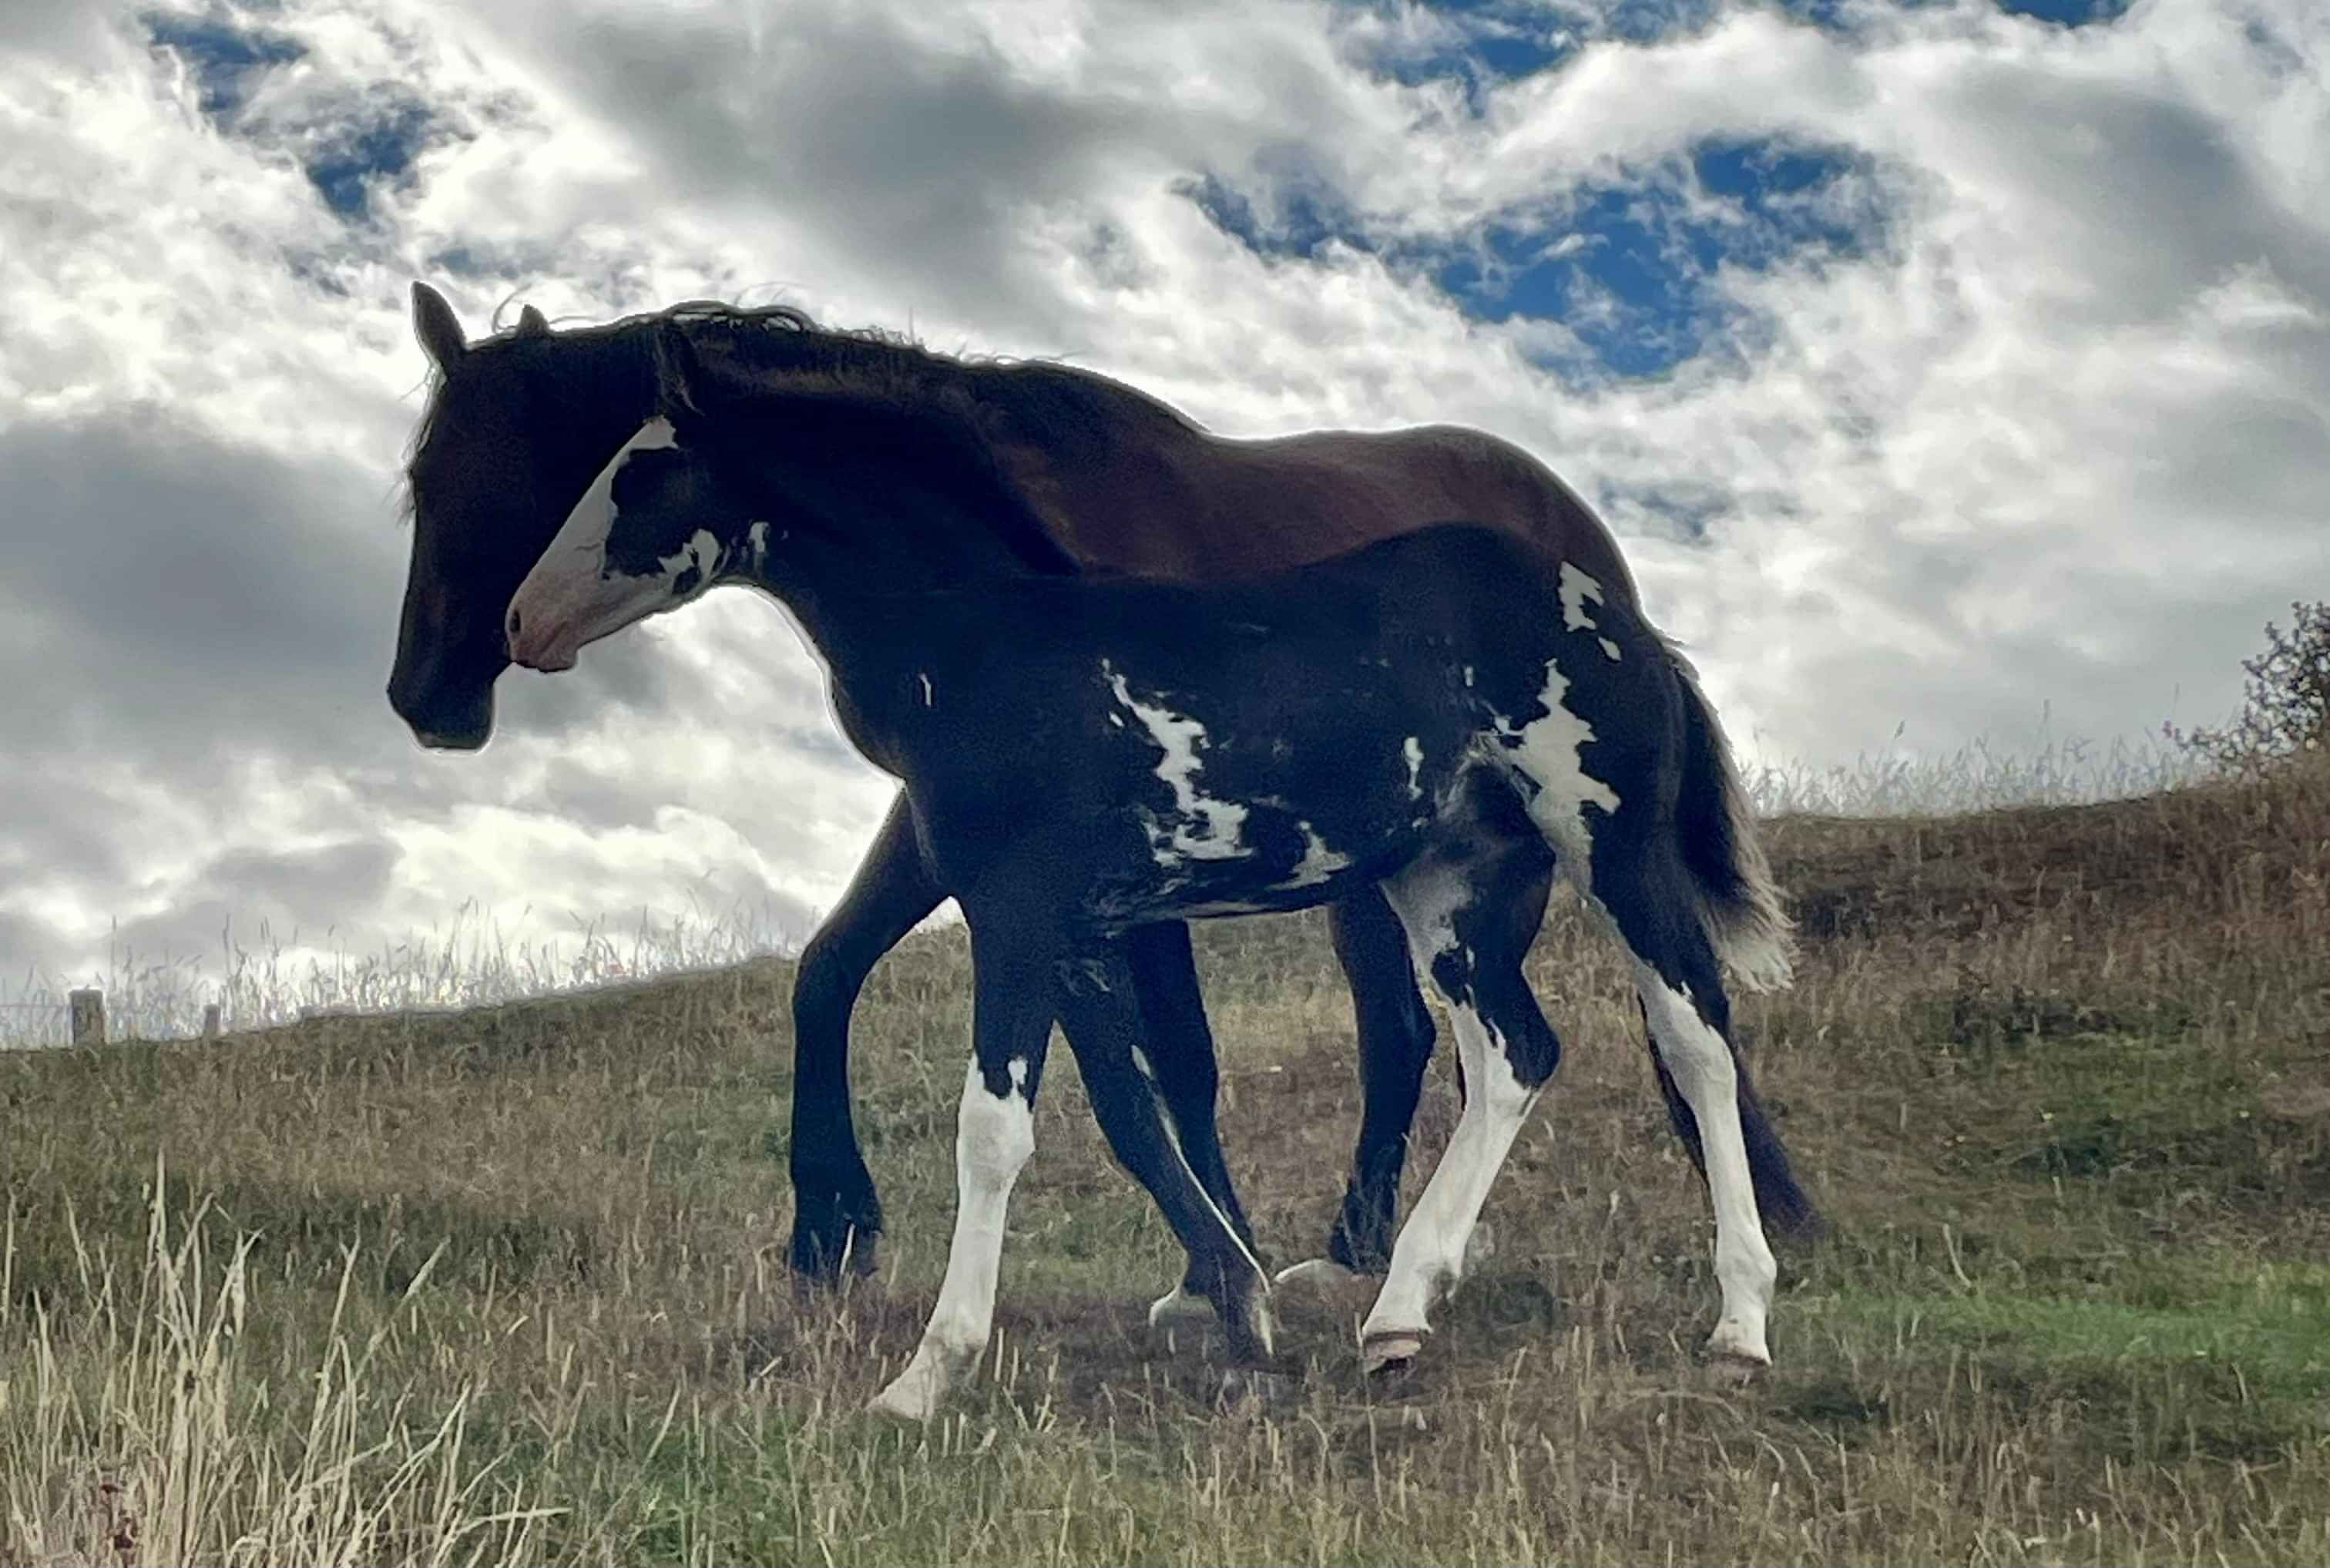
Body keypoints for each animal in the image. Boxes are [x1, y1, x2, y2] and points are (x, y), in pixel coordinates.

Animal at [389, 282, 1818, 1300]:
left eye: (480, 474)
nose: (433, 691)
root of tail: (1603, 582)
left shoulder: (1086, 867)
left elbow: (1167, 1061)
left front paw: (1213, 1264)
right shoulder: (971, 837)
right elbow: (842, 972)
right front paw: (833, 1230)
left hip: (1568, 843)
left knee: (1650, 1010)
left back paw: (1750, 1230)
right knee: (1458, 1036)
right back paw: (1390, 1255)